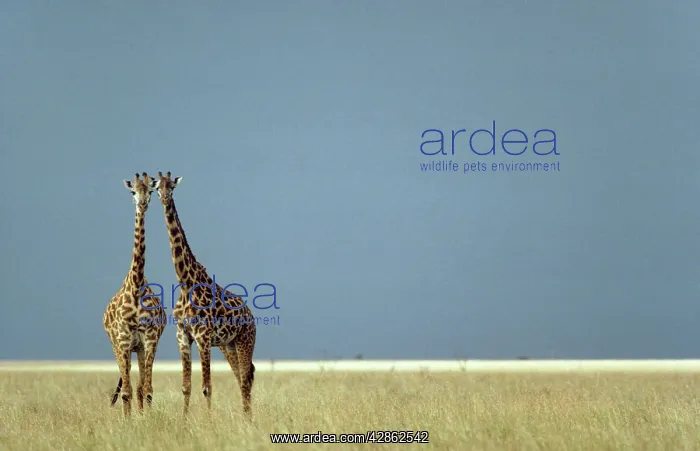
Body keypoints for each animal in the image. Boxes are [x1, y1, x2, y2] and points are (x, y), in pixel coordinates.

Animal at [103, 172, 166, 417]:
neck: (137, 285)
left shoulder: (149, 339)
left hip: (138, 348)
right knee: (127, 387)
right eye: (132, 191)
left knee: (139, 386)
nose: (142, 203)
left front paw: (145, 419)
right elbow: (127, 391)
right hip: (118, 346)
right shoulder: (122, 341)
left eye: (150, 190)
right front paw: (128, 421)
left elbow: (146, 389)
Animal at [154, 171, 257, 419]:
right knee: (242, 377)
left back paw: (248, 420)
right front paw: (183, 422)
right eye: (157, 187)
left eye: (172, 186)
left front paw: (209, 422)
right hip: (228, 346)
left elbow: (206, 387)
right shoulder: (183, 336)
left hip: (245, 341)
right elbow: (186, 387)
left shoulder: (203, 337)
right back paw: (246, 417)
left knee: (246, 379)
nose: (164, 198)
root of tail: (251, 316)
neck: (185, 283)